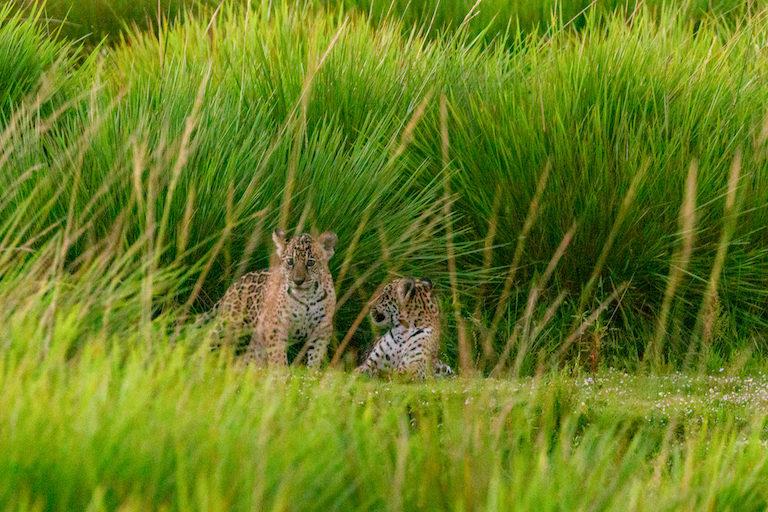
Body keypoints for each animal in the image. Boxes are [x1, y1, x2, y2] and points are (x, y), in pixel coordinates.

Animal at [206, 229, 337, 368]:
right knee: (209, 339)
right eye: (290, 262)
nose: (298, 281)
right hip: (227, 325)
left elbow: (316, 357)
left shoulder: (322, 330)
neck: (306, 297)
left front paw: (312, 372)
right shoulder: (276, 327)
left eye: (311, 262)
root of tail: (234, 285)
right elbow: (278, 358)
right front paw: (281, 372)